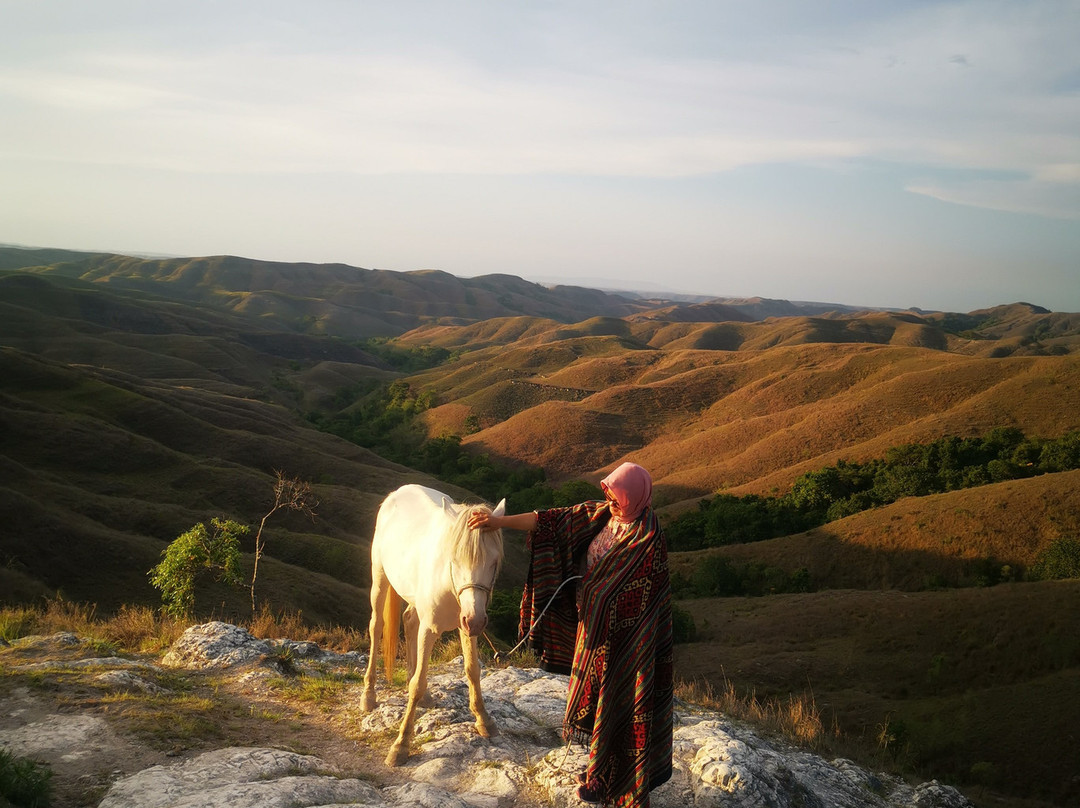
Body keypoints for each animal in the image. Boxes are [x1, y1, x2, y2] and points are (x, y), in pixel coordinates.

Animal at [358, 483, 501, 769]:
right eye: (454, 560)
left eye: (493, 563)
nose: (476, 619)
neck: (448, 582)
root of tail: (398, 492)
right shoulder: (432, 629)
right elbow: (417, 684)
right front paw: (401, 745)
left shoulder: (467, 625)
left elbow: (472, 670)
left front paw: (483, 719)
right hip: (379, 576)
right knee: (377, 626)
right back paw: (369, 694)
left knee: (410, 620)